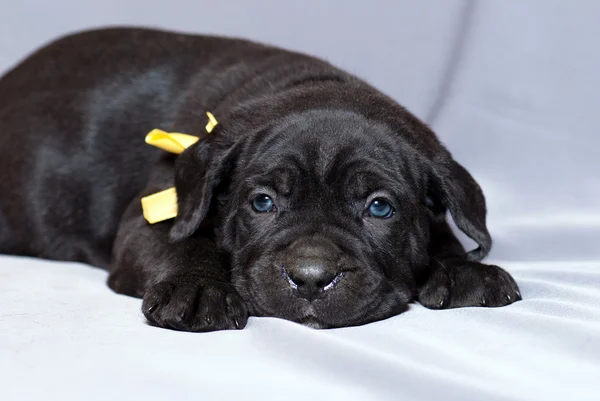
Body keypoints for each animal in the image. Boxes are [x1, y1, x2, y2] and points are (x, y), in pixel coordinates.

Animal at [0, 27, 520, 328]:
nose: (311, 279)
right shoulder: (152, 214)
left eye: (379, 207)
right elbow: (181, 244)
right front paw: (197, 288)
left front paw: (461, 268)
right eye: (262, 202)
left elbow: (443, 230)